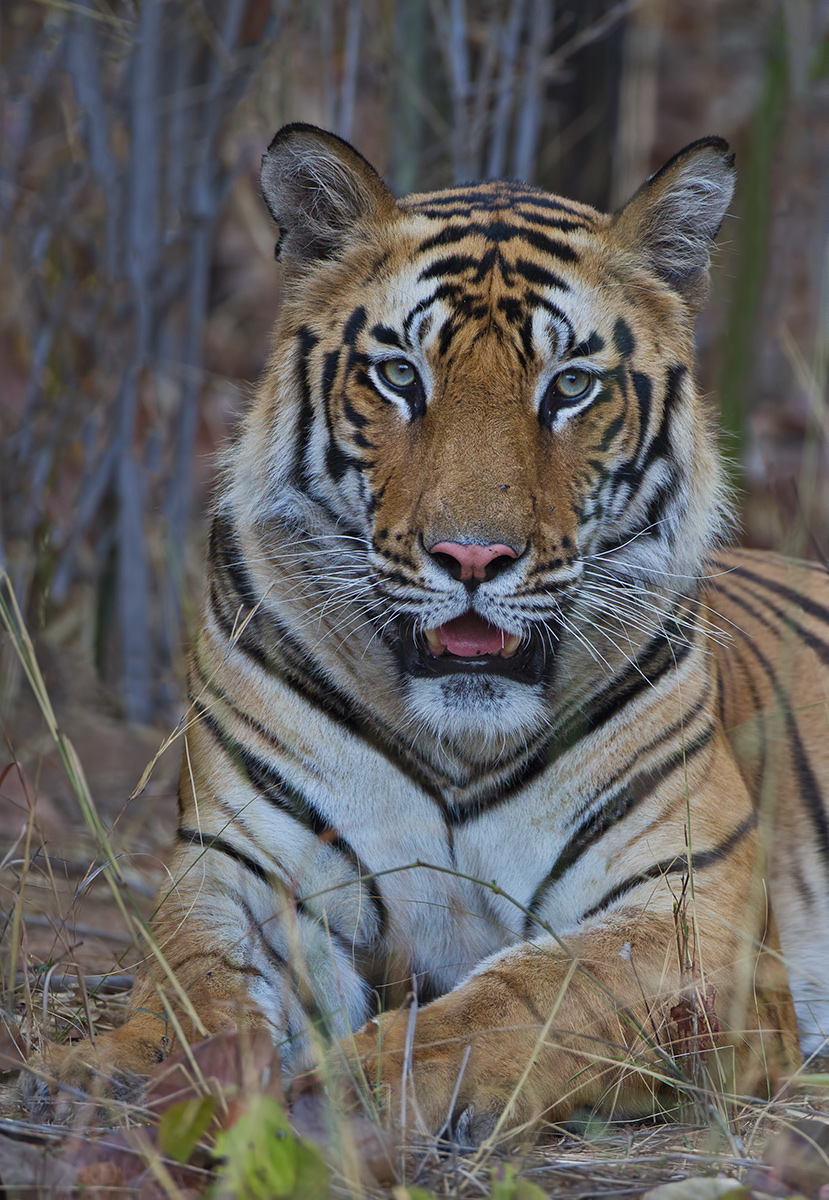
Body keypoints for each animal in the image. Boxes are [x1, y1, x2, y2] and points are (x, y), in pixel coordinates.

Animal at [24, 123, 829, 1143]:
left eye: (569, 386)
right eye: (401, 375)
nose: (472, 557)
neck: (460, 743)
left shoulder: (693, 911)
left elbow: (534, 992)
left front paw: (361, 1087)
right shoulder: (242, 873)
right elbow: (192, 987)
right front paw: (117, 1078)